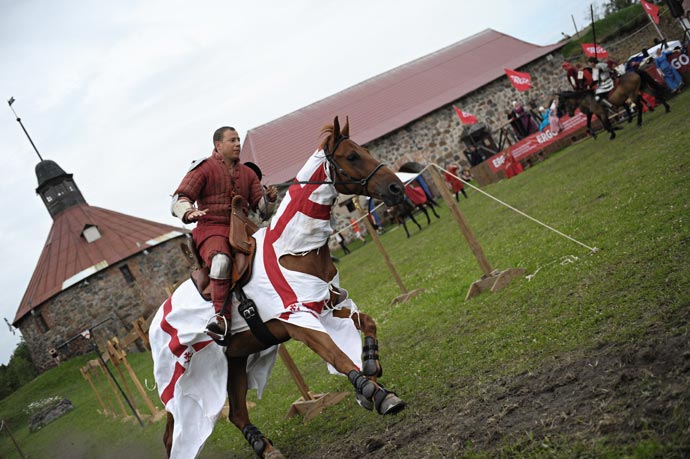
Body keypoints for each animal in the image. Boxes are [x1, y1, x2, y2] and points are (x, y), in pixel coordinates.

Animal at [152, 117, 404, 459]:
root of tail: (156, 319)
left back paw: (266, 447)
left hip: (235, 359)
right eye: (352, 156)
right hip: (179, 385)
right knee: (171, 437)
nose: (396, 188)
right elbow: (337, 355)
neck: (294, 248)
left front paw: (370, 370)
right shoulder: (298, 320)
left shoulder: (330, 304)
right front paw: (374, 393)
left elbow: (368, 322)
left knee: (236, 413)